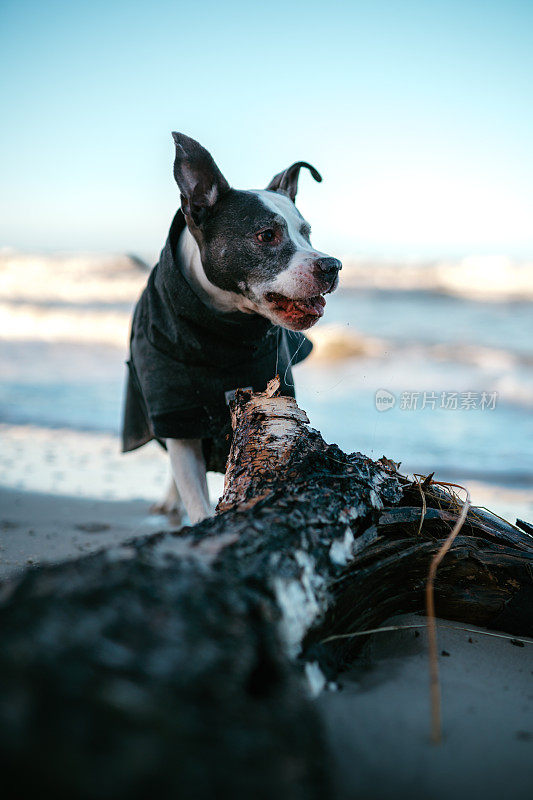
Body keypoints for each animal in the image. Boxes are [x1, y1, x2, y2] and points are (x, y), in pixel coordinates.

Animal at [121, 133, 340, 524]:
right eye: (267, 235)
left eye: (307, 233)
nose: (332, 266)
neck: (223, 330)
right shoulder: (179, 418)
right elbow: (195, 495)